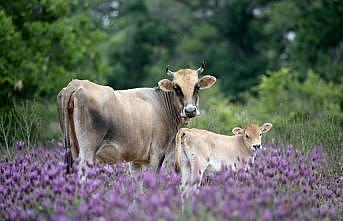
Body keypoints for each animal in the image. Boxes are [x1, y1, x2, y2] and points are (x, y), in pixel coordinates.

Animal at [57, 63, 216, 174]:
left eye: (197, 87)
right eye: (176, 88)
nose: (190, 110)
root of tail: (76, 83)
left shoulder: (136, 160)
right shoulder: (157, 154)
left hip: (73, 149)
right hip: (88, 151)